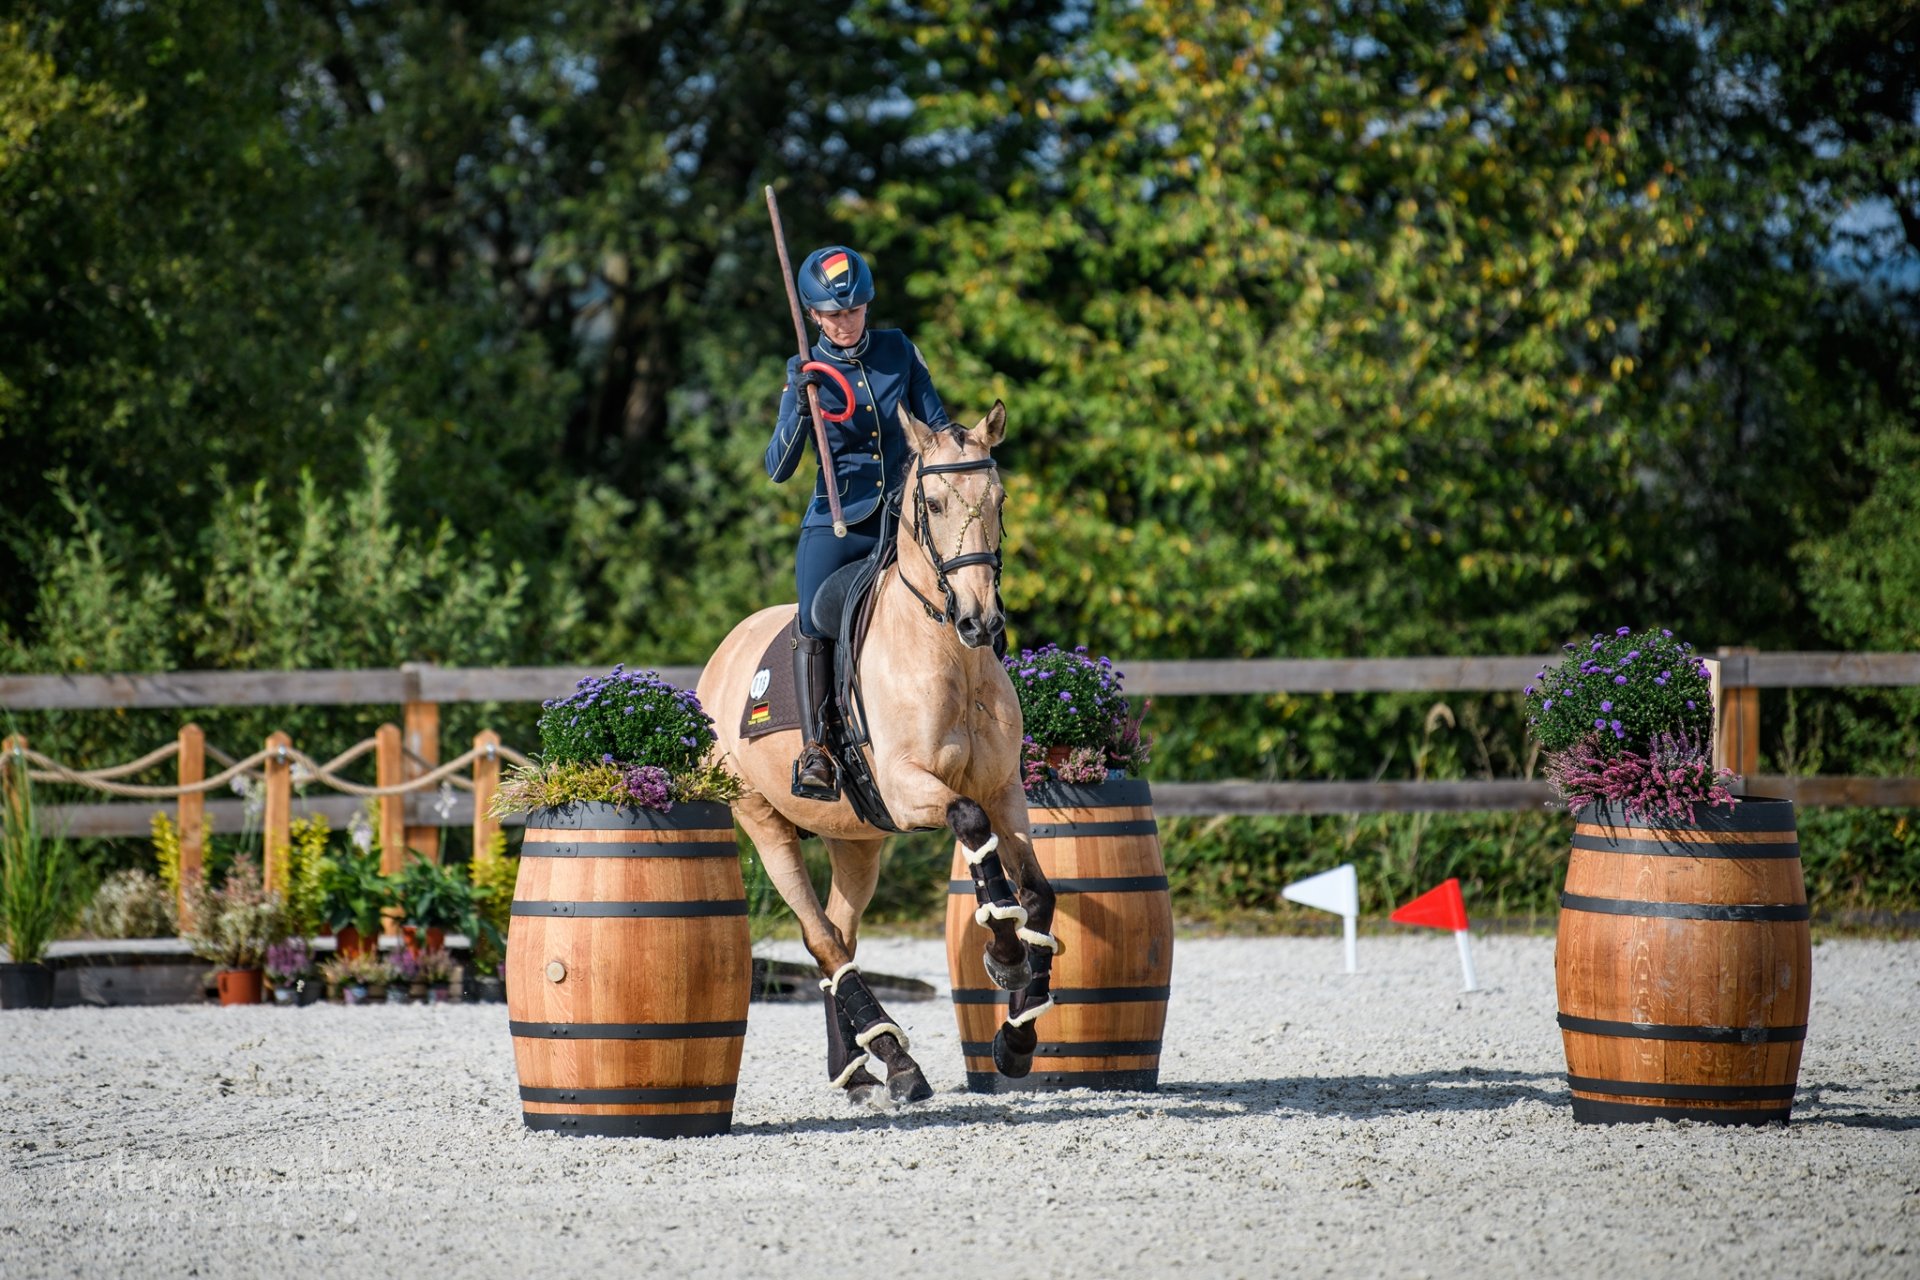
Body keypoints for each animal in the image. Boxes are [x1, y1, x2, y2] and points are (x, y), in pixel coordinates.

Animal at [698, 404, 1059, 1105]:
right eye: (936, 503)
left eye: (999, 499)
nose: (981, 621)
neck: (949, 653)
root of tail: (723, 657)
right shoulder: (907, 787)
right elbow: (971, 825)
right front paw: (1003, 957)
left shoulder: (1005, 790)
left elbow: (1037, 893)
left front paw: (1018, 1035)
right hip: (762, 821)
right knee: (820, 937)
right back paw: (893, 1055)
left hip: (857, 841)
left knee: (839, 934)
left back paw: (865, 1065)